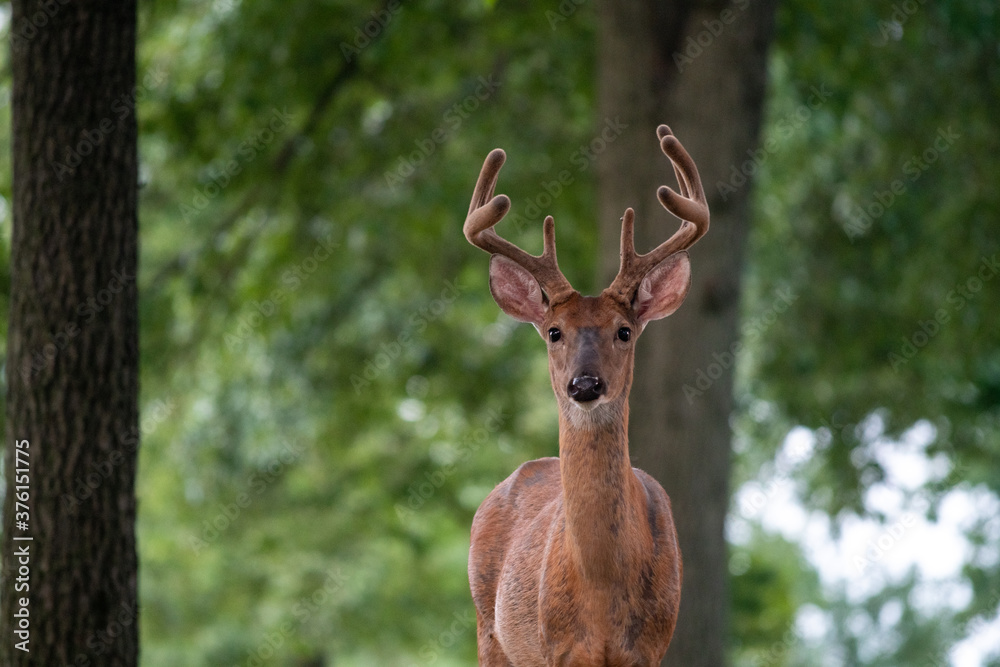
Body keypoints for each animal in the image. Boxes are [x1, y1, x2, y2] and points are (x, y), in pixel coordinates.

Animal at [464, 125, 709, 667]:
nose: (585, 385)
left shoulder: (651, 647)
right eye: (555, 331)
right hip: (489, 630)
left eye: (624, 331)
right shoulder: (559, 648)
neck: (601, 591)